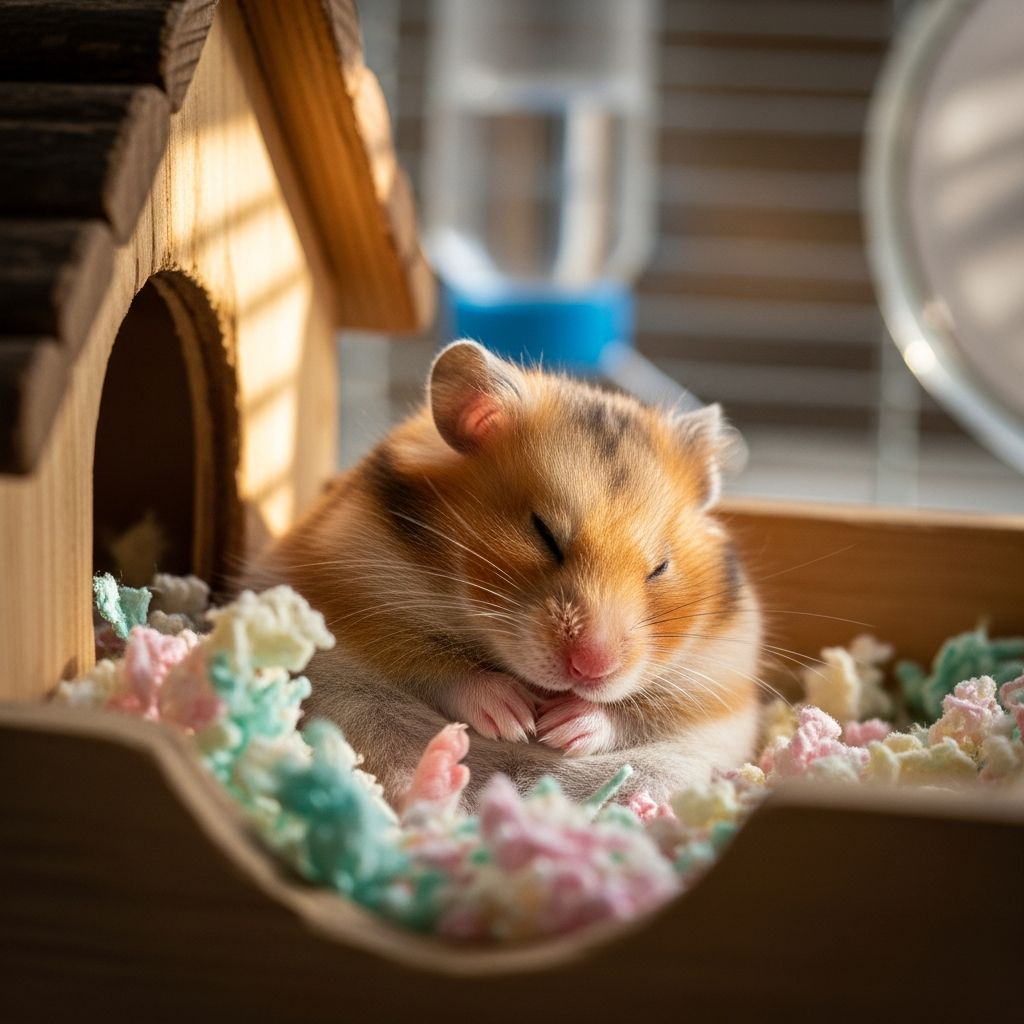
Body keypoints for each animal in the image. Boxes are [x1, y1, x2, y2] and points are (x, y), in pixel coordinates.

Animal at [244, 340, 763, 807]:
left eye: (660, 567)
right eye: (544, 533)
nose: (591, 668)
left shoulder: (715, 683)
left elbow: (631, 712)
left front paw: (559, 727)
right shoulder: (357, 607)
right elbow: (437, 666)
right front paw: (514, 719)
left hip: (677, 768)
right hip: (359, 721)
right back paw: (444, 771)